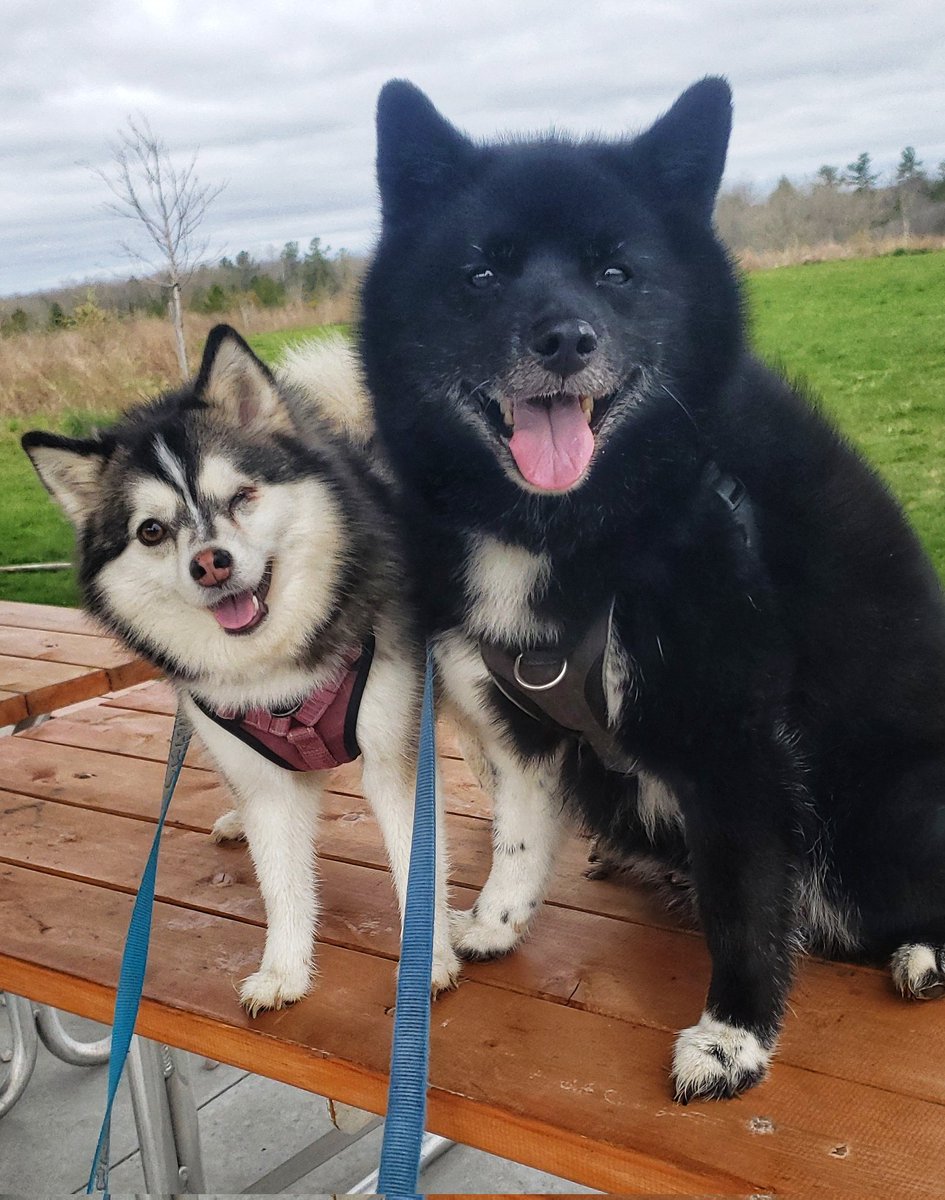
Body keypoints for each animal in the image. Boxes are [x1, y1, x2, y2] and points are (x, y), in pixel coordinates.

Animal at [357, 77, 944, 1099]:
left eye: (616, 272)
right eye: (482, 274)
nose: (564, 338)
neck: (577, 529)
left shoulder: (737, 743)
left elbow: (747, 900)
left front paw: (731, 1035)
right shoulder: (521, 726)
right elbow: (516, 833)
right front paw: (497, 923)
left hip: (889, 807)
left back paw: (920, 954)